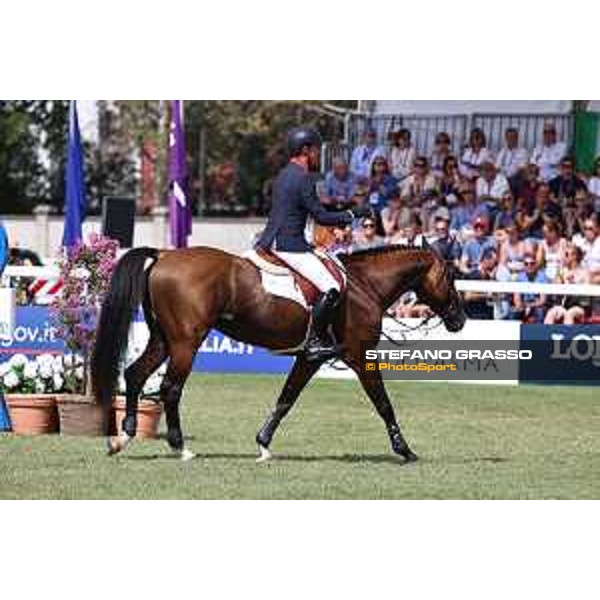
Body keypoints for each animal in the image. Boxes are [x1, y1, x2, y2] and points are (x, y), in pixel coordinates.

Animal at [91, 243, 466, 464]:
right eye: (450, 274)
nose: (460, 319)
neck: (363, 286)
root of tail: (165, 254)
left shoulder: (309, 357)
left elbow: (287, 398)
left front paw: (263, 444)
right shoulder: (360, 356)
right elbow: (384, 403)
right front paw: (405, 450)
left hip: (164, 339)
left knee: (135, 375)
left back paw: (123, 437)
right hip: (185, 342)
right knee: (170, 389)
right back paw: (180, 447)